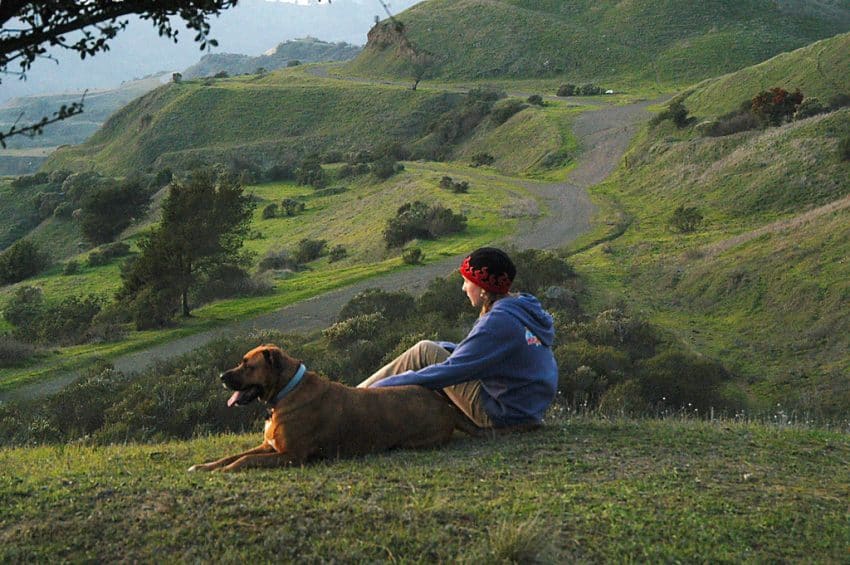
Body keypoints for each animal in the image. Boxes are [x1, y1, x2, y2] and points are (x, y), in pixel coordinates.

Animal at [188, 344, 476, 472]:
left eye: (248, 366)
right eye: (242, 362)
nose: (222, 377)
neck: (287, 391)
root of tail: (444, 405)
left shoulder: (291, 455)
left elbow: (244, 460)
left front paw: (224, 471)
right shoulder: (268, 446)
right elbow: (233, 455)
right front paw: (205, 466)